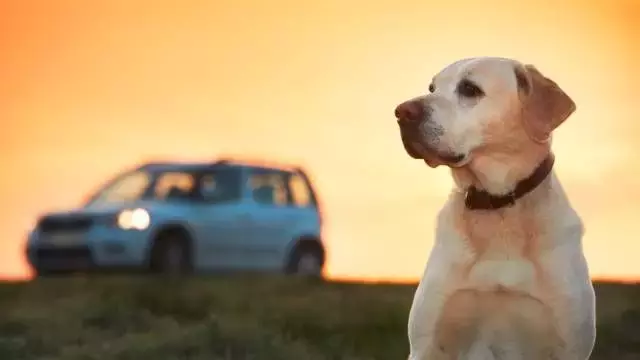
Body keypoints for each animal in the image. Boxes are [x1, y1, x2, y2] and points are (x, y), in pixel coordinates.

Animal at [398, 57, 596, 358]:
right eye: (432, 88)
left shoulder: (569, 345)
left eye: (469, 89)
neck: (497, 204)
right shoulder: (427, 345)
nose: (400, 112)